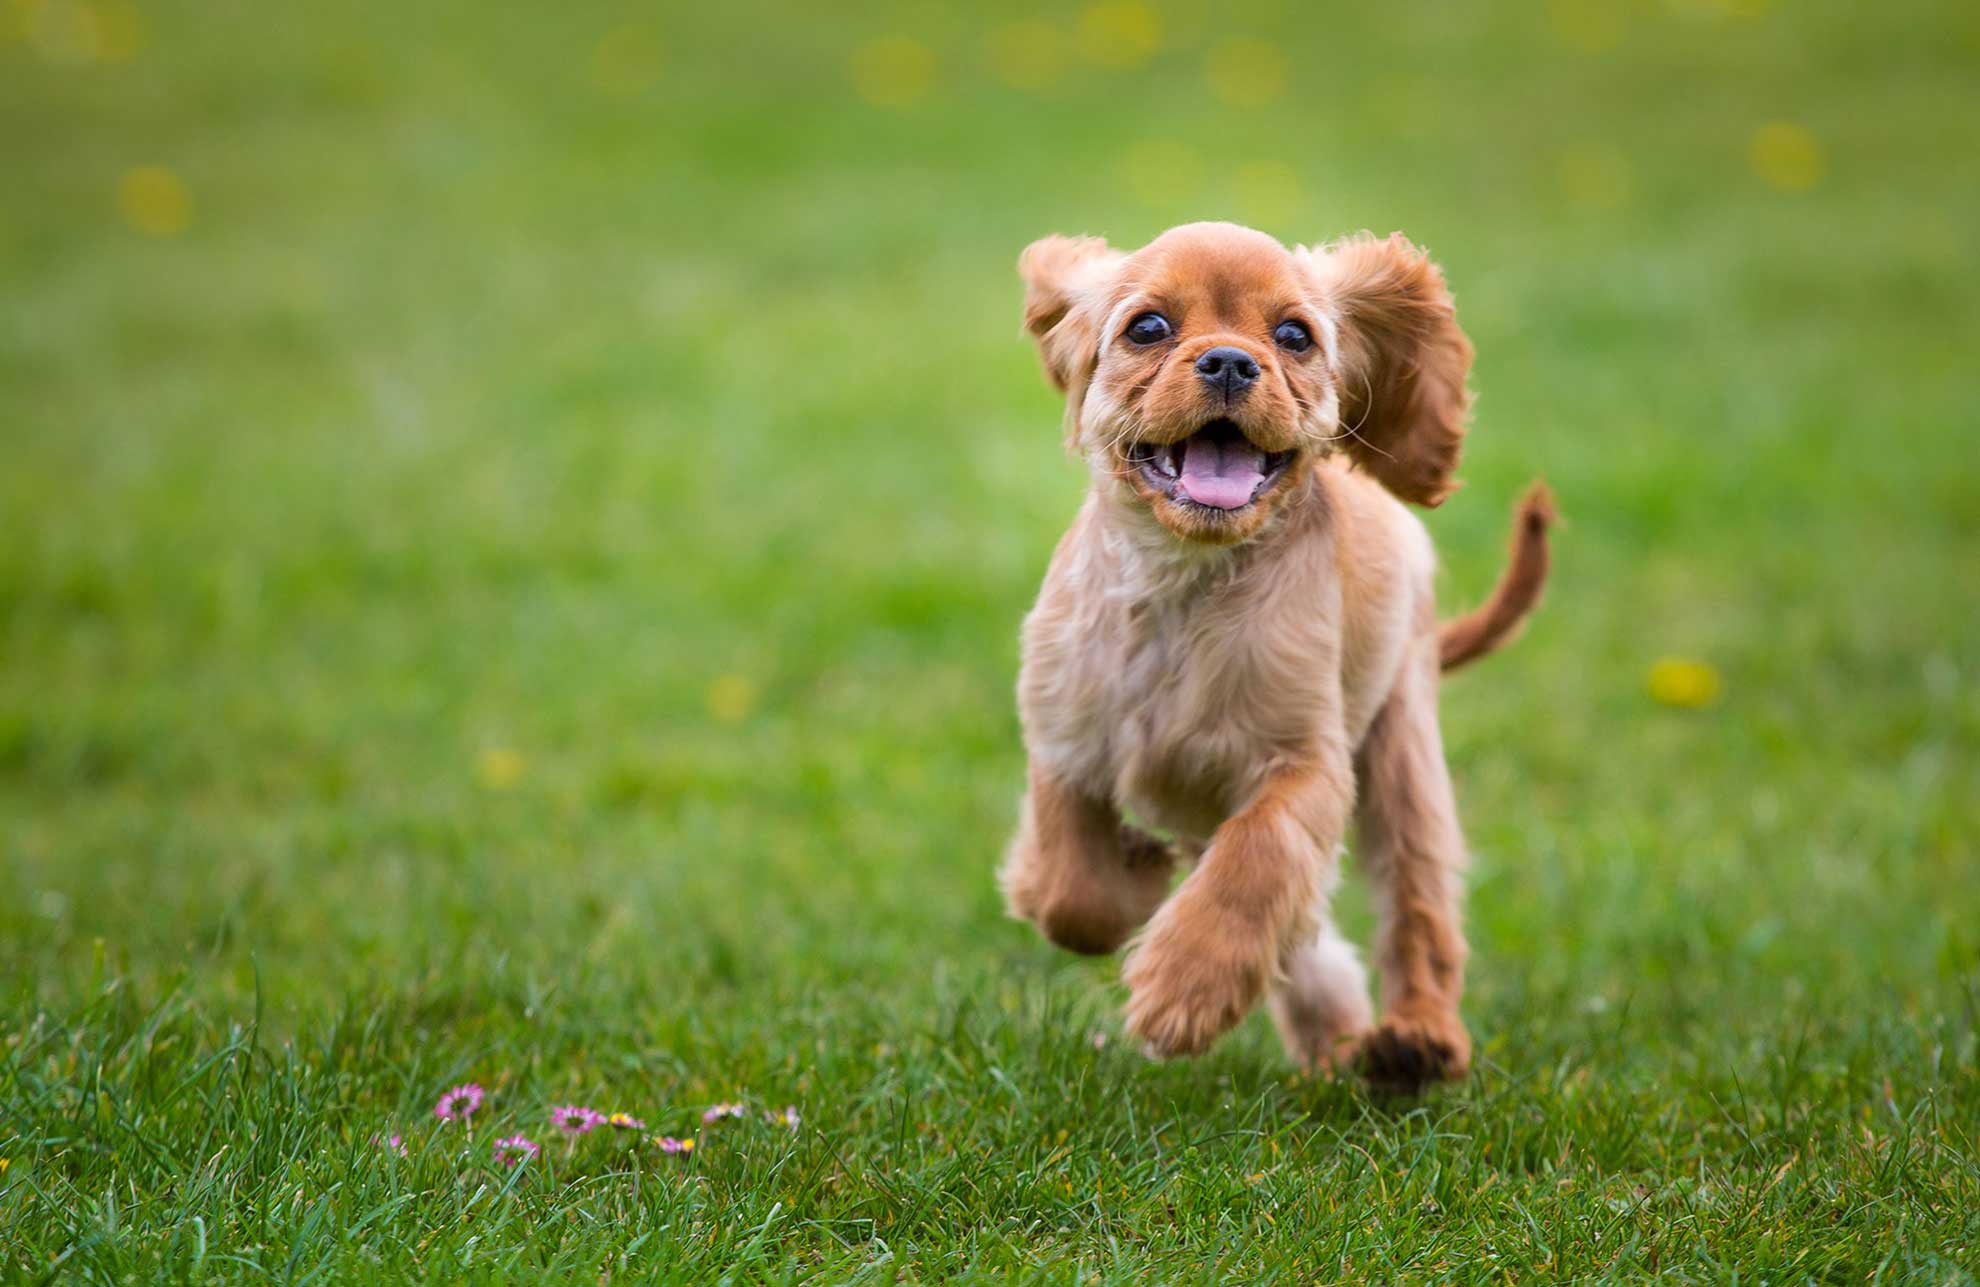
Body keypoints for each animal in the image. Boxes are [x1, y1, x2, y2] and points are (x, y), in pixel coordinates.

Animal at [997, 220, 1552, 1085]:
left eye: (1294, 336)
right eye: (1147, 327)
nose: (1229, 360)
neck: (1184, 582)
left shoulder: (1306, 764)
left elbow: (1256, 862)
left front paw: (1183, 988)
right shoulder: (1065, 737)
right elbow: (1068, 887)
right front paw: (1133, 875)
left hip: (1403, 747)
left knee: (1416, 907)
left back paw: (1415, 1041)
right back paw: (1338, 1038)